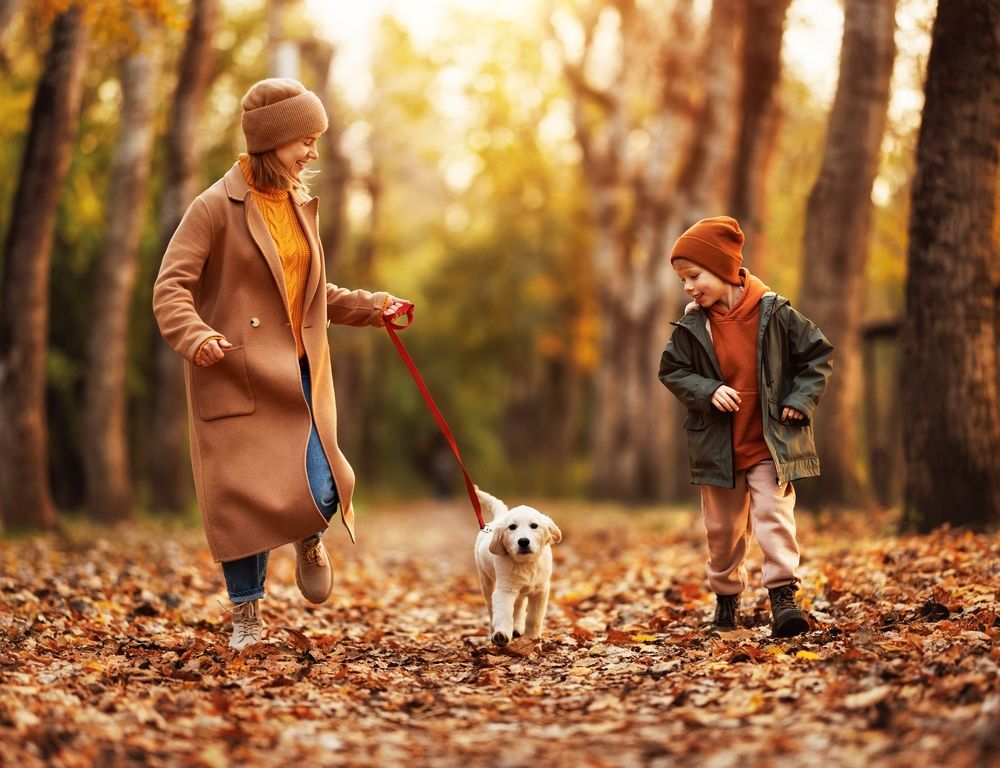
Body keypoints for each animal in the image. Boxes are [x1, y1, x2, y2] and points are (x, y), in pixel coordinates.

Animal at [472, 488, 560, 644]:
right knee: (491, 608)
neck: (527, 564)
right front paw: (501, 634)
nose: (523, 541)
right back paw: (494, 630)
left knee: (519, 606)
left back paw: (517, 628)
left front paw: (532, 638)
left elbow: (534, 617)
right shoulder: (505, 590)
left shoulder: (541, 590)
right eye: (512, 527)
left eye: (534, 526)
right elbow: (504, 613)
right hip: (486, 580)